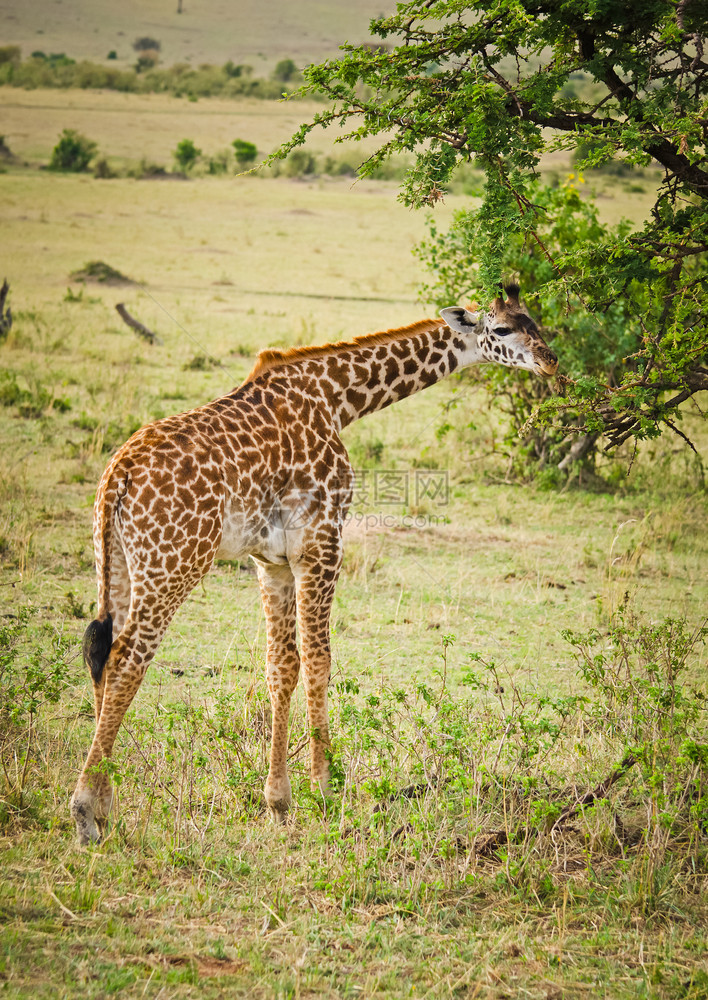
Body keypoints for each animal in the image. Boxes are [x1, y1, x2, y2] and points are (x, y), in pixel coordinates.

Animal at [72, 282, 560, 844]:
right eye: (501, 328)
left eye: (536, 322)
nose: (550, 362)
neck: (337, 399)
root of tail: (117, 476)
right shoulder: (322, 543)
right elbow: (320, 660)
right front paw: (326, 788)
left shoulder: (273, 561)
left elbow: (281, 666)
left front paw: (278, 801)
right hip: (174, 564)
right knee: (128, 660)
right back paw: (84, 813)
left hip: (119, 564)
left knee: (102, 654)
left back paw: (105, 807)